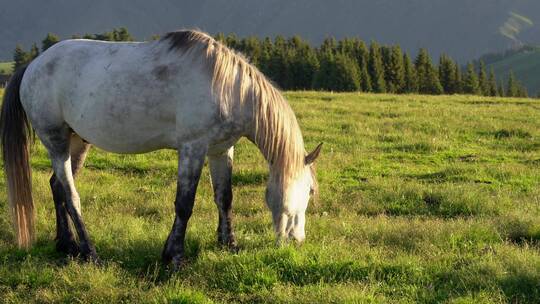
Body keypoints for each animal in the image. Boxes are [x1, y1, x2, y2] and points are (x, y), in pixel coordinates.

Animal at [1, 29, 320, 268]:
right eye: (310, 191)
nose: (298, 240)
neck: (227, 88)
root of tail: (33, 65)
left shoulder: (220, 150)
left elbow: (224, 198)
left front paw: (228, 243)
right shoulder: (192, 148)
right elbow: (185, 203)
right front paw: (174, 256)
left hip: (76, 142)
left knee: (56, 187)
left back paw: (66, 245)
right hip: (55, 141)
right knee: (71, 195)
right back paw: (90, 252)